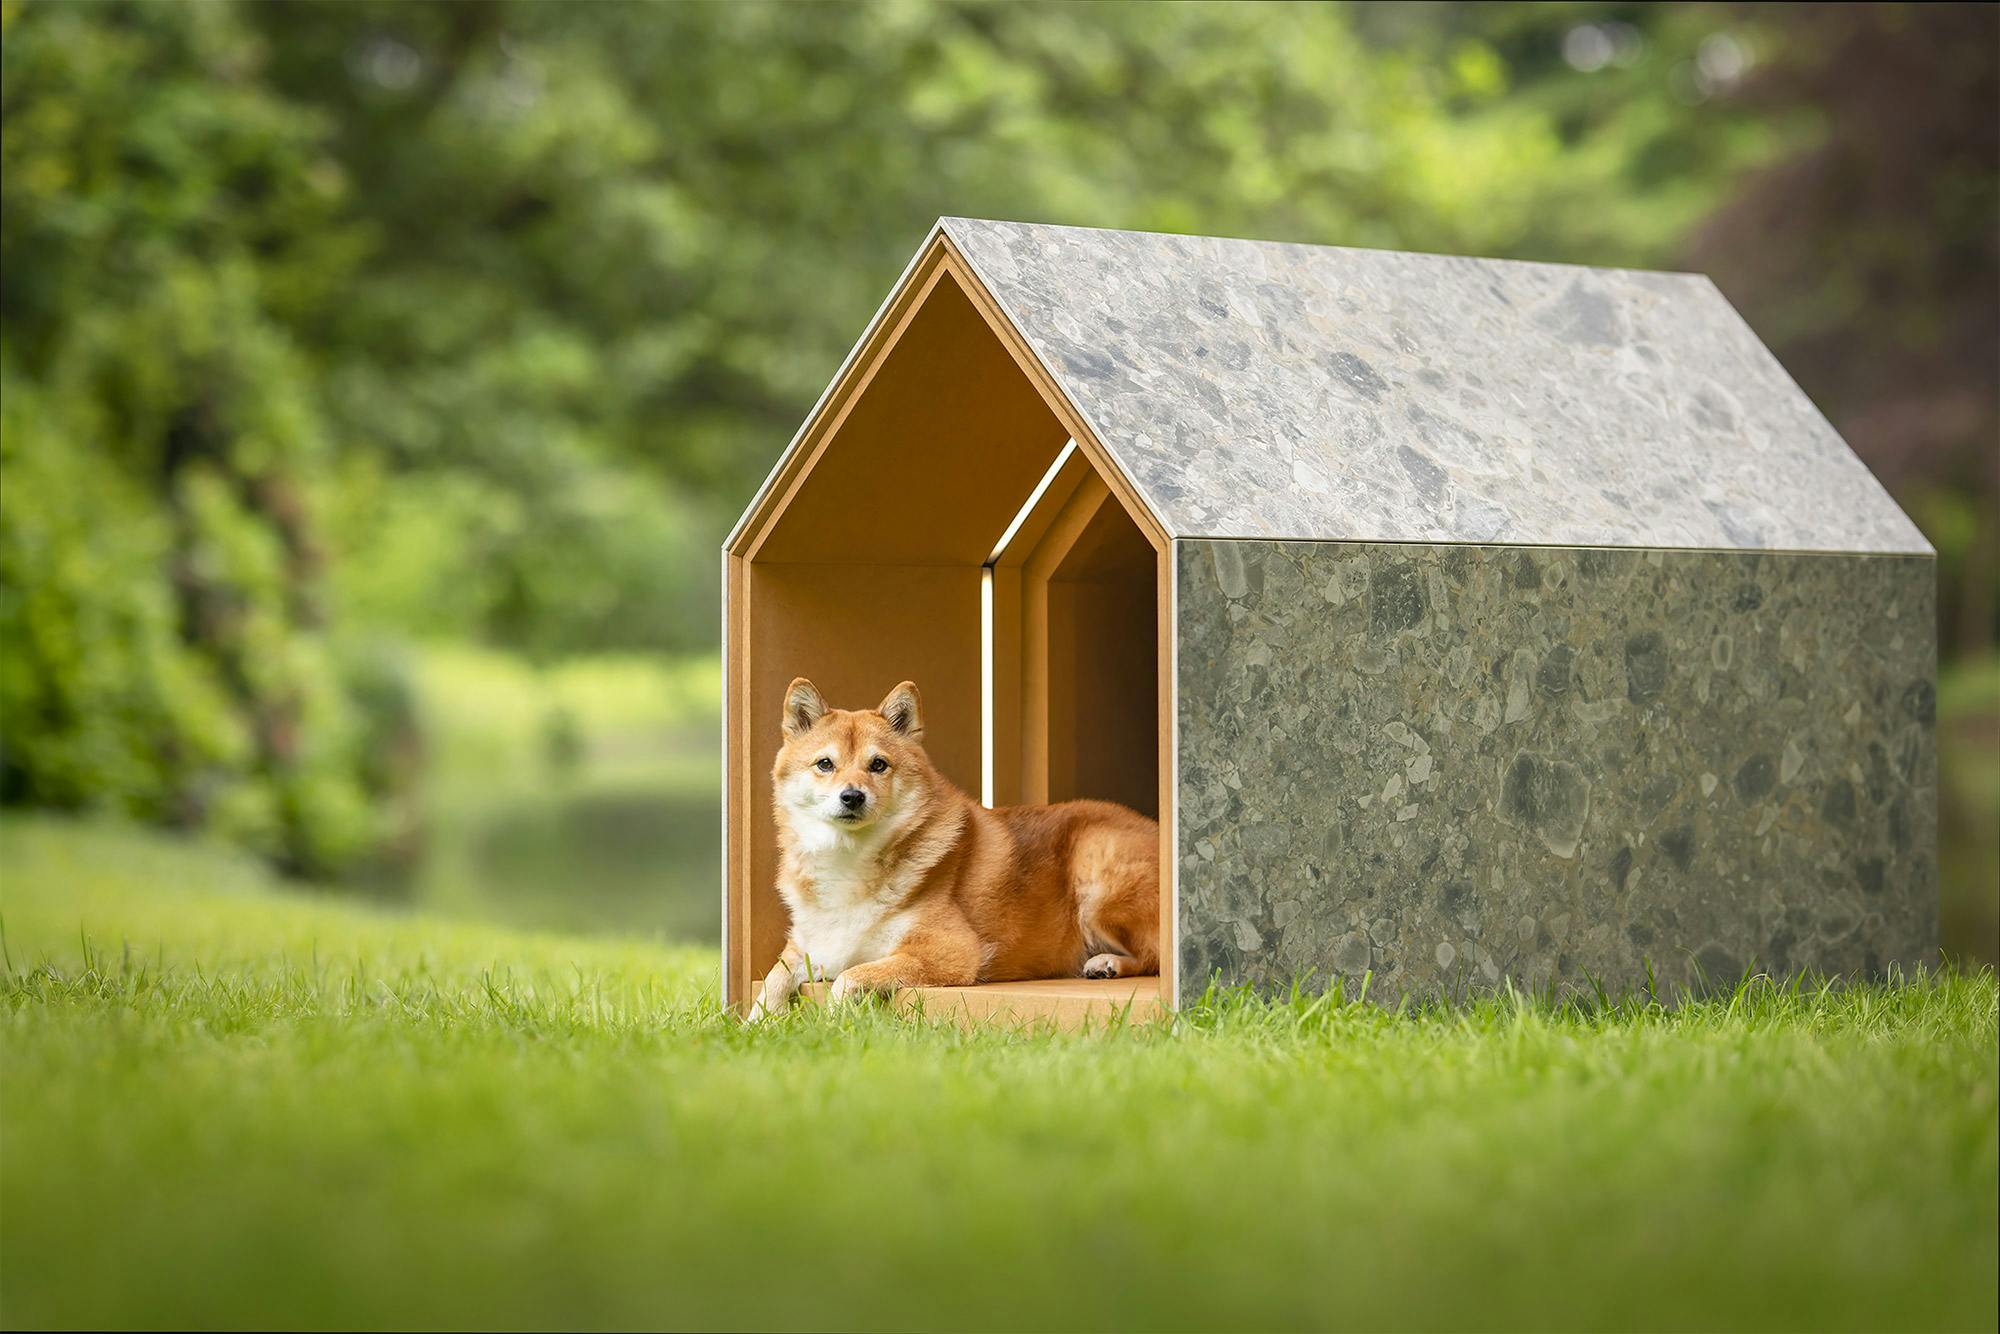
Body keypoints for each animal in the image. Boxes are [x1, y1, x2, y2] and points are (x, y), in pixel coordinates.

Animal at [748, 680, 1160, 1024]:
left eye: (878, 764)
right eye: (825, 764)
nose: (852, 796)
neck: (850, 860)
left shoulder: (951, 952)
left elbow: (849, 978)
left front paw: (832, 1023)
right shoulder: (808, 944)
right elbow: (773, 978)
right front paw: (756, 1025)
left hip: (1096, 876)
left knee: (1155, 955)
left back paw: (1108, 963)